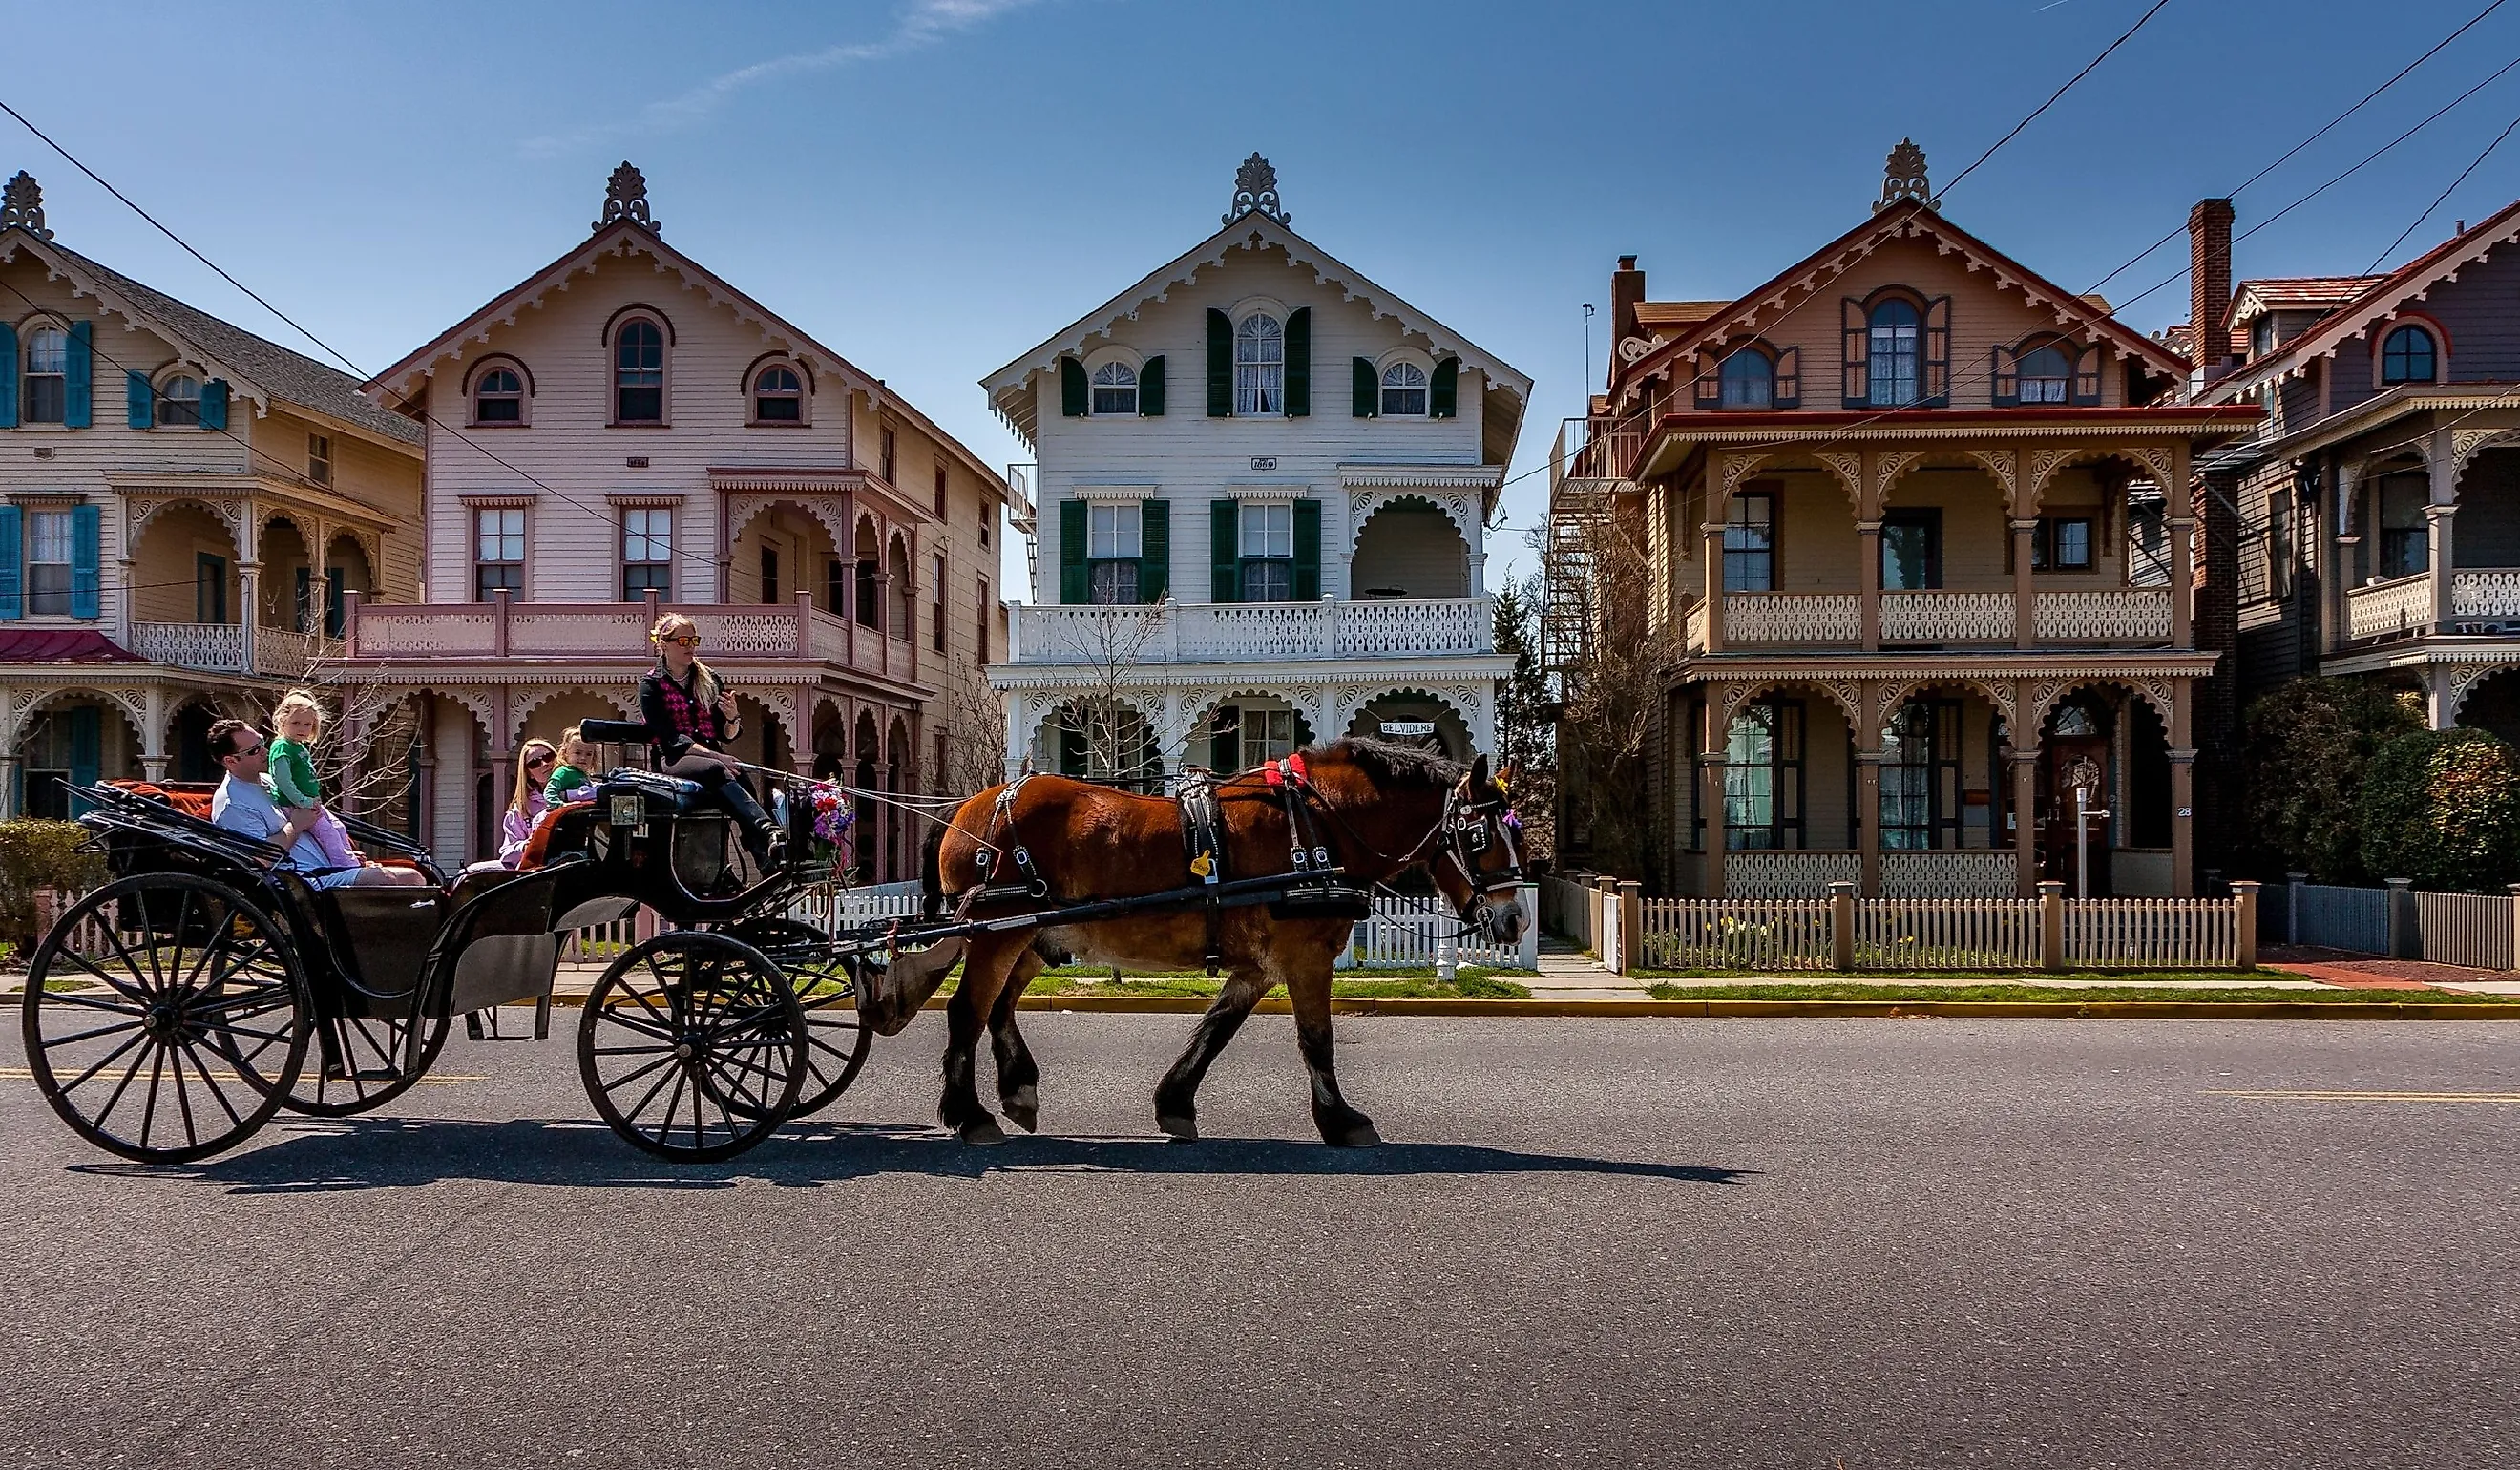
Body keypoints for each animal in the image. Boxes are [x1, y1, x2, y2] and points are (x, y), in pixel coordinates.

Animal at [856, 741, 1522, 1144]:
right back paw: (971, 1115)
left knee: (998, 1007)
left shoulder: (1259, 967)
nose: (1514, 920)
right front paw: (1340, 1120)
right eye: (1482, 834)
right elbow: (1317, 1040)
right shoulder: (1306, 957)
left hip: (1031, 935)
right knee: (968, 1010)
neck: (1317, 828)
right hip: (1002, 932)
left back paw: (1018, 1090)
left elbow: (1215, 1031)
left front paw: (1175, 1101)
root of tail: (966, 810)